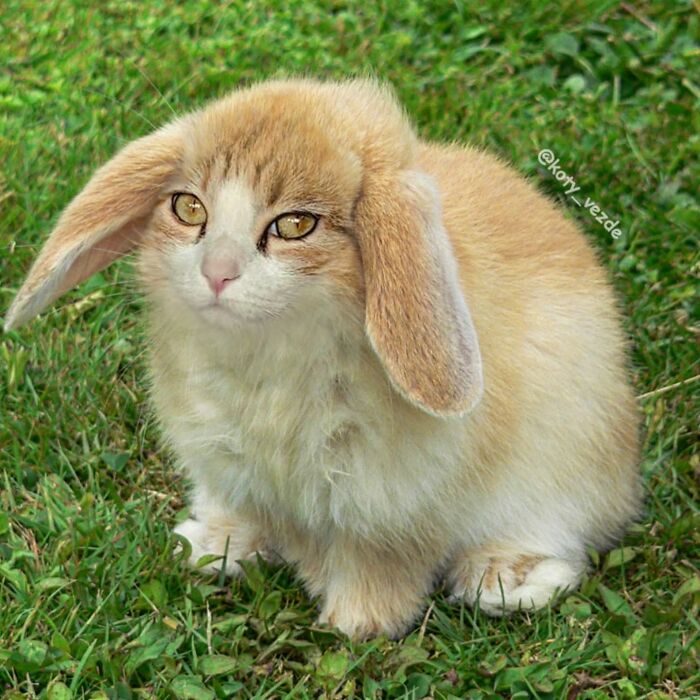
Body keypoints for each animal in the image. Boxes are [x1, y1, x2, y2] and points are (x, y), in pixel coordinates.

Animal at [4, 78, 641, 639]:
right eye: (188, 209)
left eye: (294, 225)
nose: (216, 274)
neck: (272, 350)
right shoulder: (234, 466)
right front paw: (222, 548)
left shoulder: (385, 509)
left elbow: (378, 566)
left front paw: (356, 625)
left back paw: (506, 579)